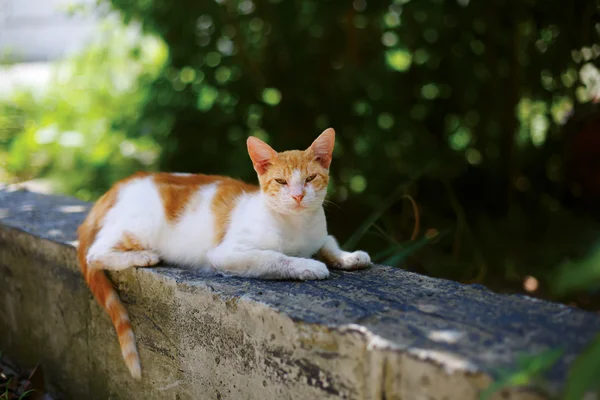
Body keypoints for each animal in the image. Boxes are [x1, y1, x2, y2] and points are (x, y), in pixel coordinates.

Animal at [77, 128, 370, 378]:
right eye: (281, 181)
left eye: (310, 178)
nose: (298, 196)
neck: (297, 225)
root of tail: (119, 186)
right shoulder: (227, 254)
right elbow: (273, 257)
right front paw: (307, 265)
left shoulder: (320, 235)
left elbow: (329, 243)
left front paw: (349, 257)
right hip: (140, 226)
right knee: (95, 253)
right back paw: (143, 256)